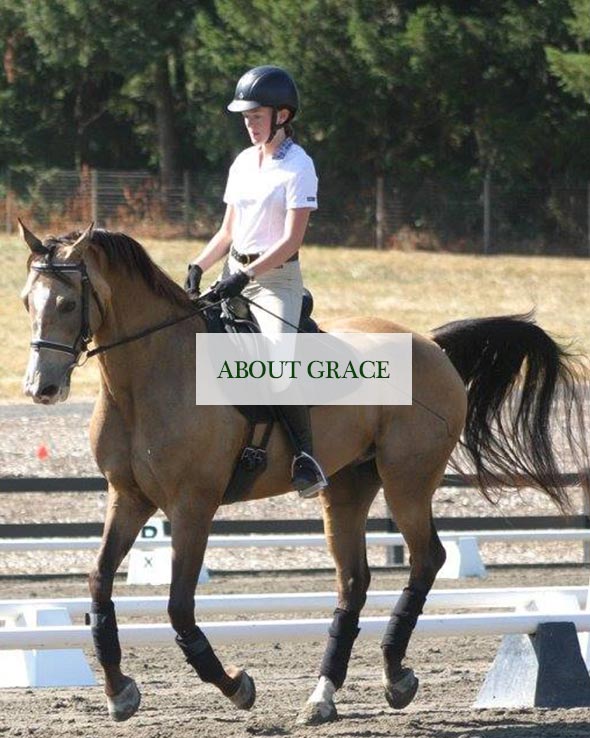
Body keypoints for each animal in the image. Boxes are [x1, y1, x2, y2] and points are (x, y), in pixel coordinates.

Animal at [19, 222, 588, 725]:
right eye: (28, 301)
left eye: (67, 304)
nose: (41, 388)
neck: (151, 375)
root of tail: (429, 343)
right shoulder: (128, 496)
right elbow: (98, 583)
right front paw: (120, 692)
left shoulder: (192, 505)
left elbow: (179, 606)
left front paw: (236, 686)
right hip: (349, 487)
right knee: (353, 582)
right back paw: (324, 696)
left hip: (408, 481)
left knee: (427, 558)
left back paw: (395, 675)